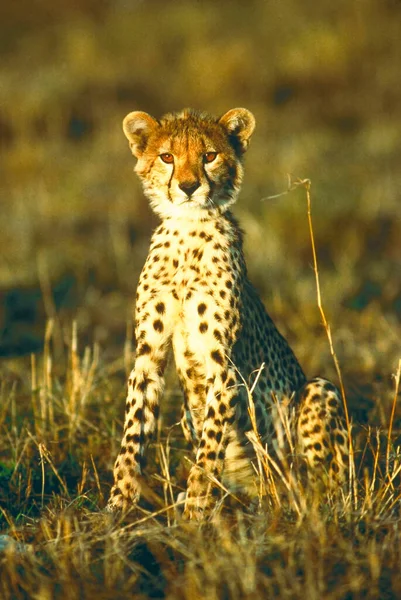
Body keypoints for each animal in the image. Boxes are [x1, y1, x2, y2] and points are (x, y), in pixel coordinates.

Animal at [108, 108, 348, 520]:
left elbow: (210, 446)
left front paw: (195, 511)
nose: (188, 186)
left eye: (209, 156)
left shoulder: (221, 363)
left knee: (320, 483)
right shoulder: (147, 354)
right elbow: (133, 434)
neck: (188, 234)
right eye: (167, 157)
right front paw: (116, 506)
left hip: (318, 392)